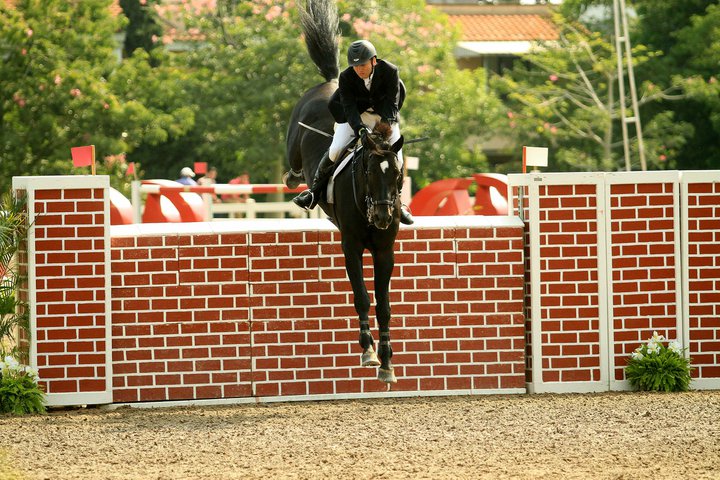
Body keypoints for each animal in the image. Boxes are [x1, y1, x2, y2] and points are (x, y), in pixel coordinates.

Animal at [282, 0, 404, 382]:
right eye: (367, 171)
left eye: (397, 174)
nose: (382, 216)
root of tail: (331, 81)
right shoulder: (350, 244)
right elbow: (362, 297)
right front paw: (368, 352)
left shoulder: (385, 250)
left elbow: (384, 303)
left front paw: (388, 362)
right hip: (297, 141)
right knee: (296, 166)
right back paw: (297, 185)